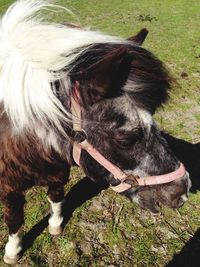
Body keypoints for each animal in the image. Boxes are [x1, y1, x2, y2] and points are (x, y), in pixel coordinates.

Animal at [0, 0, 190, 264]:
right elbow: (15, 218)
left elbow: (56, 197)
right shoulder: (9, 188)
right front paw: (13, 251)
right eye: (124, 139)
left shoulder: (59, 171)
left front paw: (55, 225)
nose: (184, 190)